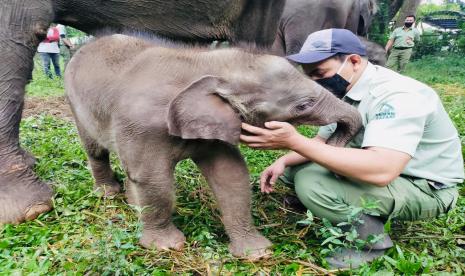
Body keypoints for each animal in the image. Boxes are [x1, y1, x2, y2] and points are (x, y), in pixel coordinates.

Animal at [64, 34, 358, 258]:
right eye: (303, 105)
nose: (334, 142)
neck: (204, 63)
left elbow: (231, 174)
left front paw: (256, 254)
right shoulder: (142, 127)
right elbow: (154, 179)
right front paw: (167, 247)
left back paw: (133, 204)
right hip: (74, 103)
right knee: (96, 150)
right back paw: (109, 194)